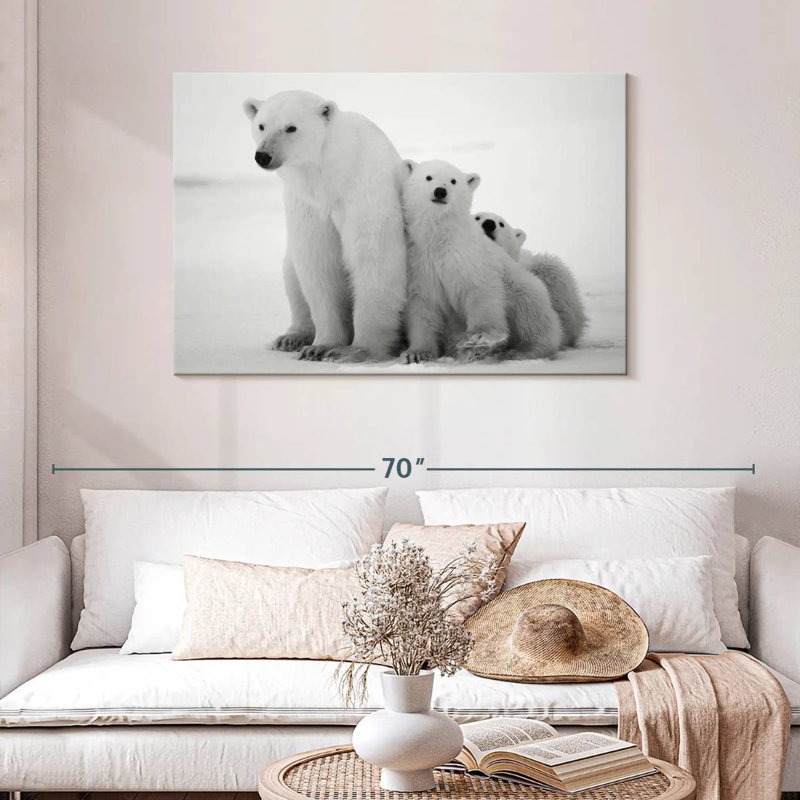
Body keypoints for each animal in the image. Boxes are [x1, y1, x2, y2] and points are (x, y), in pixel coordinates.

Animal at [244, 90, 407, 362]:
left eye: (291, 127)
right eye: (261, 125)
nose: (263, 156)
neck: (331, 176)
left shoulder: (365, 192)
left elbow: (374, 259)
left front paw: (355, 350)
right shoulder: (308, 204)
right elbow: (318, 262)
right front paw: (320, 346)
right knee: (291, 273)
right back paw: (292, 337)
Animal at [401, 160, 562, 363]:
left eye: (453, 181)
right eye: (428, 177)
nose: (440, 191)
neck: (440, 238)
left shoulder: (470, 257)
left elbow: (481, 291)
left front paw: (478, 338)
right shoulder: (420, 264)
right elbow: (422, 307)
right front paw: (416, 353)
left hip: (524, 289)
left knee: (531, 316)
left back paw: (523, 350)